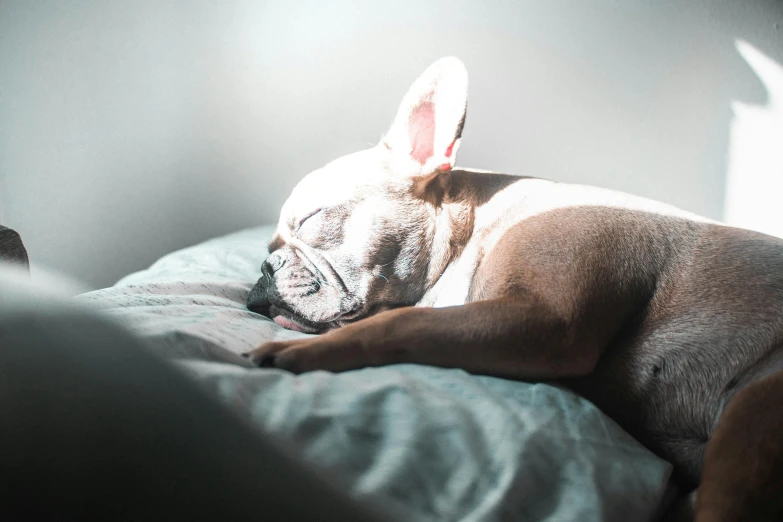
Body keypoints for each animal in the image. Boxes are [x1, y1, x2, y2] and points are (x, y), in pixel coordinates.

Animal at [248, 58, 783, 520]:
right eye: (270, 244)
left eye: (313, 219)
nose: (263, 272)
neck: (474, 226)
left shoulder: (548, 323)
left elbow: (400, 322)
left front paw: (302, 353)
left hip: (755, 408)